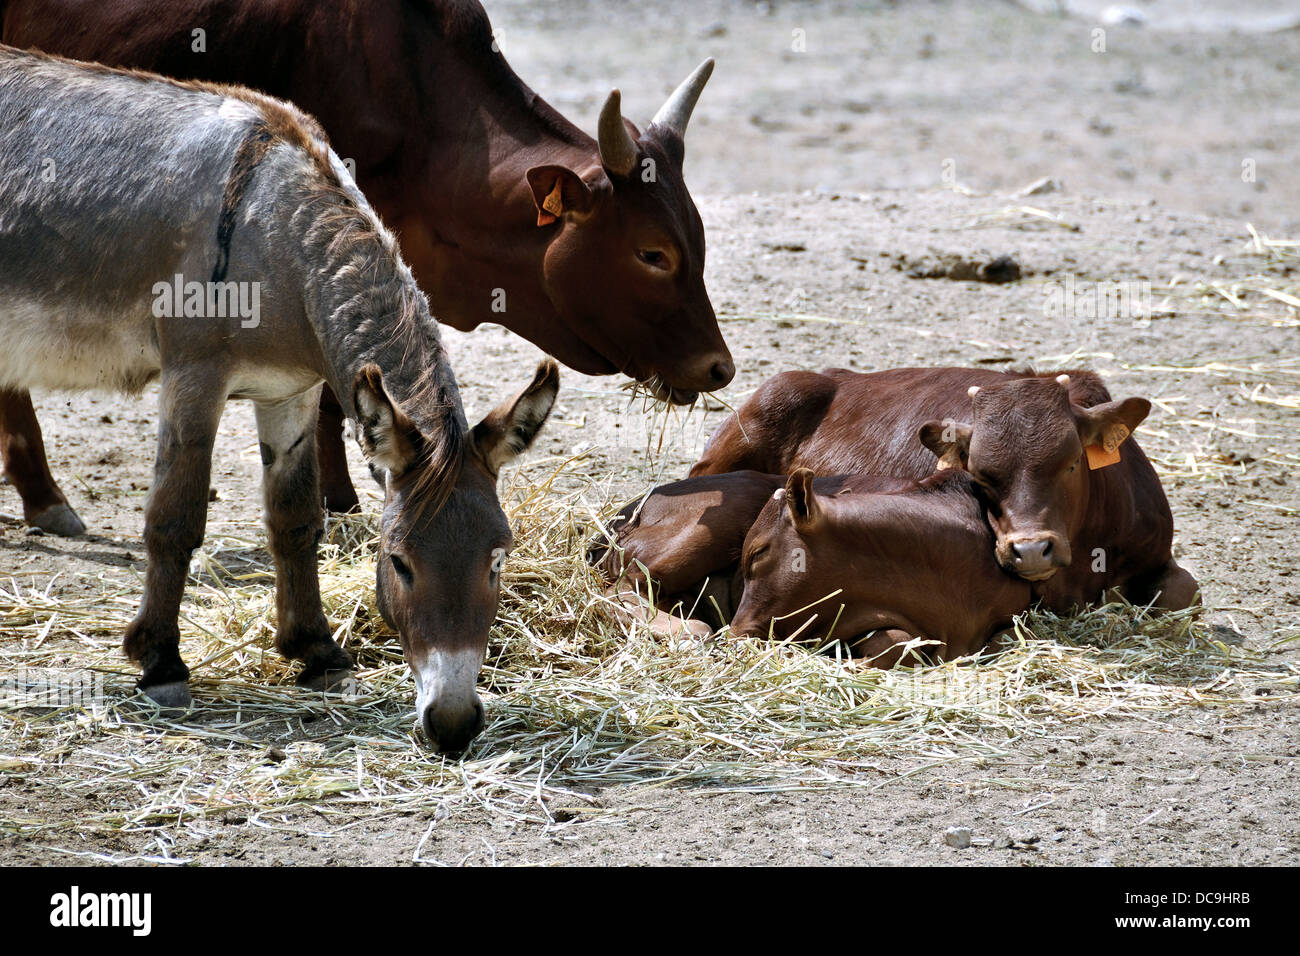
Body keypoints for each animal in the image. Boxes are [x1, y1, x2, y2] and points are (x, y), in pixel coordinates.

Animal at [595, 468, 1029, 665]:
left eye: (758, 553)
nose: (735, 631)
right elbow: (897, 641)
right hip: (705, 528)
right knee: (620, 587)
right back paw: (689, 630)